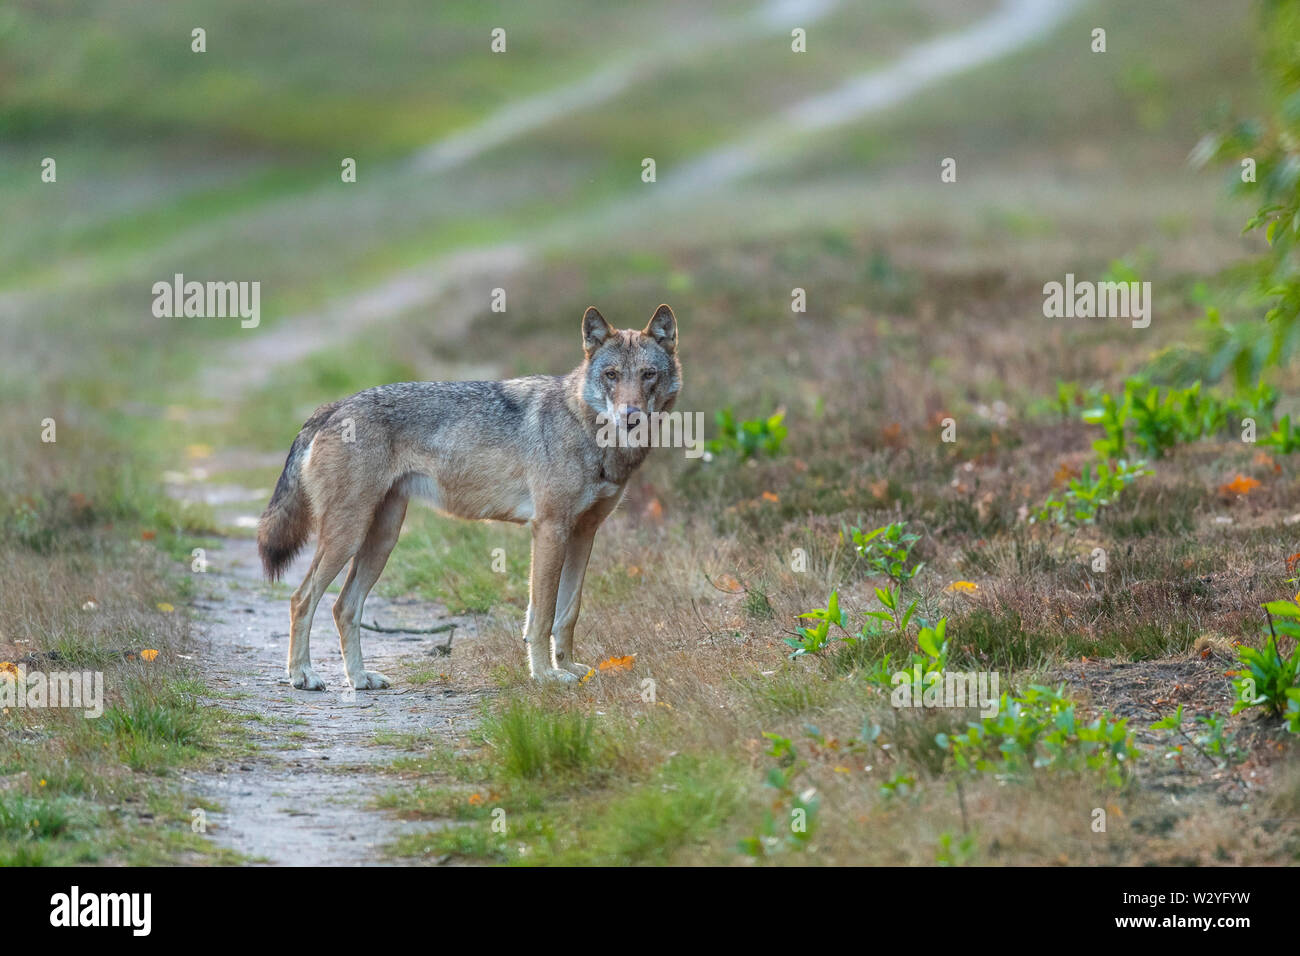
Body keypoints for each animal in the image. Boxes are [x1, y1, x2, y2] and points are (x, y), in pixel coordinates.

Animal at [256, 304, 680, 689]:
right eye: (611, 375)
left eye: (648, 374)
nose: (631, 416)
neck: (588, 430)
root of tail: (331, 407)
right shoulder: (549, 529)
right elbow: (541, 616)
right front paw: (545, 676)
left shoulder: (584, 533)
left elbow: (568, 612)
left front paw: (570, 669)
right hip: (347, 536)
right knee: (300, 599)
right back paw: (302, 676)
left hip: (381, 539)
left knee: (343, 606)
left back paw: (359, 679)